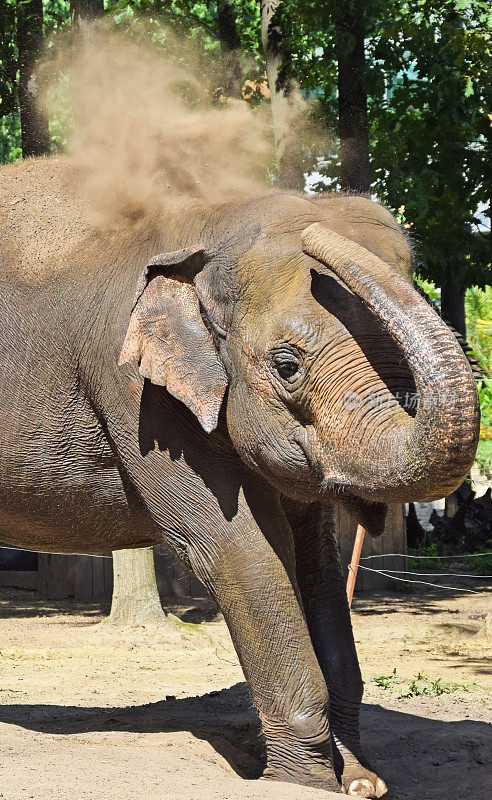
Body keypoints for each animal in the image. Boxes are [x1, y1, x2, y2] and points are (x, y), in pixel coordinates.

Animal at [0, 159, 478, 796]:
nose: (320, 229)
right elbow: (238, 550)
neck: (206, 222)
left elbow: (314, 558)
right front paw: (308, 781)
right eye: (287, 365)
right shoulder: (138, 394)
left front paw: (360, 778)